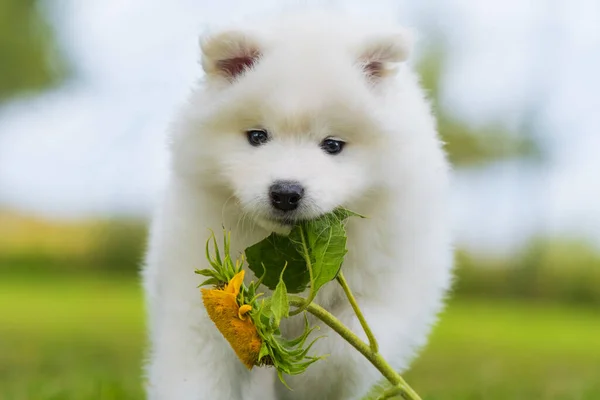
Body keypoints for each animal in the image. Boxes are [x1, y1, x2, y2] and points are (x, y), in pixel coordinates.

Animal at [143, 6, 452, 400]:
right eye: (257, 136)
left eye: (332, 145)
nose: (286, 192)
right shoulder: (200, 295)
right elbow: (195, 374)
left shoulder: (395, 283)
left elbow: (349, 348)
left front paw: (309, 375)